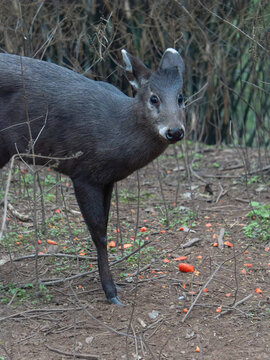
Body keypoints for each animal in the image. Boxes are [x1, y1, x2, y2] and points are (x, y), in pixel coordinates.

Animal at [0, 49, 185, 306]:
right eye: (154, 98)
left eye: (180, 97)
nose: (175, 131)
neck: (115, 129)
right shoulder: (83, 173)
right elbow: (99, 233)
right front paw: (111, 292)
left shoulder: (107, 179)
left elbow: (105, 226)